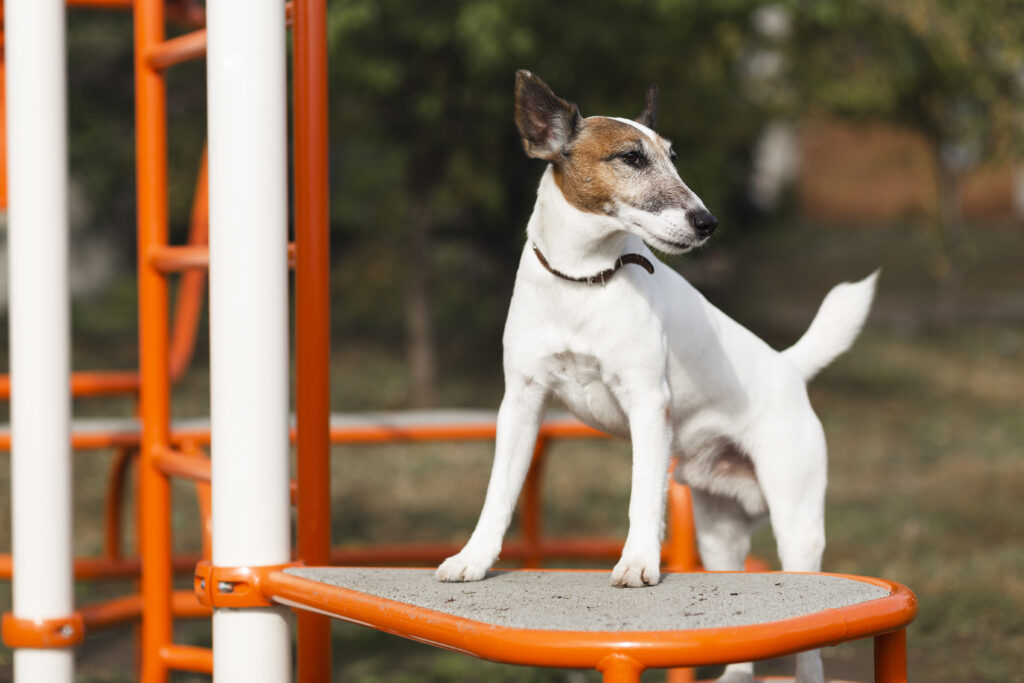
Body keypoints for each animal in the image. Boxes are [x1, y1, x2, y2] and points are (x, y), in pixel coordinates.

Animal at [436, 70, 876, 683]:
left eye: (674, 158)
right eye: (631, 157)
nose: (708, 222)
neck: (584, 280)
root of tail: (788, 366)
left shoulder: (647, 404)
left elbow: (642, 496)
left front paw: (639, 562)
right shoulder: (521, 404)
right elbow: (499, 491)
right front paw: (473, 559)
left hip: (798, 523)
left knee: (809, 637)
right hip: (720, 533)